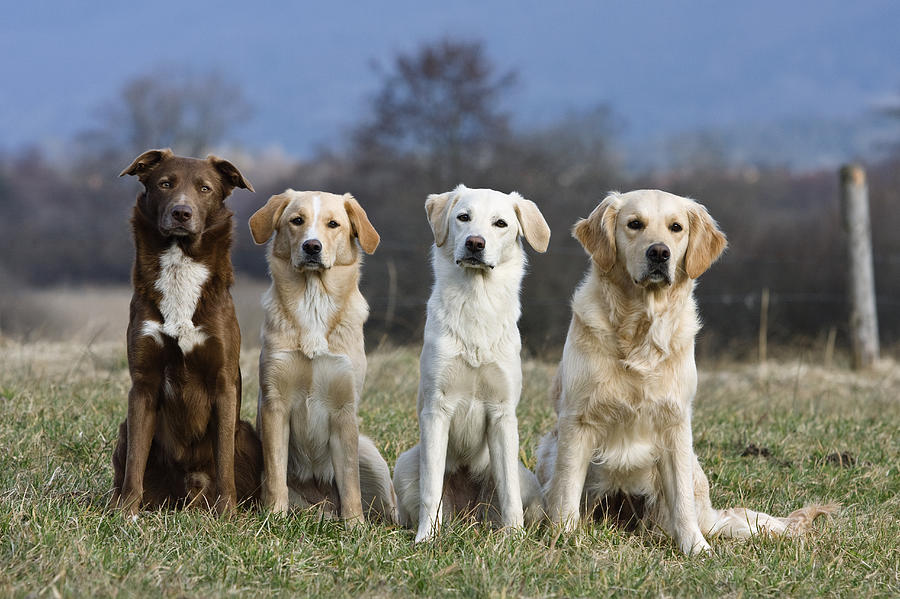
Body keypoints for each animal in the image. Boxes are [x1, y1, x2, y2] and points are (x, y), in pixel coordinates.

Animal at [110, 149, 262, 516]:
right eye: (165, 184)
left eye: (205, 188)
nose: (182, 212)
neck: (180, 263)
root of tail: (189, 494)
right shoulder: (143, 384)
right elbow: (135, 461)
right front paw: (126, 512)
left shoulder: (224, 382)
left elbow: (224, 461)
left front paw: (226, 513)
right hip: (123, 429)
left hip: (247, 434)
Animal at [250, 190, 398, 524]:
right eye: (297, 220)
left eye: (333, 224)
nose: (312, 246)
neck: (312, 299)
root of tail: (322, 507)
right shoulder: (275, 405)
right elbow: (276, 473)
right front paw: (274, 518)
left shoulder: (344, 409)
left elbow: (350, 481)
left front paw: (354, 525)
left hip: (372, 457)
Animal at [392, 184, 548, 544]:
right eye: (463, 217)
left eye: (500, 223)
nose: (476, 243)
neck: (477, 302)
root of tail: (467, 516)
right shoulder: (437, 409)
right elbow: (431, 488)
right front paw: (426, 538)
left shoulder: (503, 414)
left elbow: (509, 494)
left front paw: (514, 539)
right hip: (405, 464)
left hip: (525, 476)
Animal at [536, 190, 836, 556]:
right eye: (634, 224)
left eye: (676, 227)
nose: (659, 252)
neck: (640, 328)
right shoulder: (577, 420)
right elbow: (566, 490)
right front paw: (562, 538)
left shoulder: (675, 423)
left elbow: (681, 501)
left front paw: (695, 549)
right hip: (548, 448)